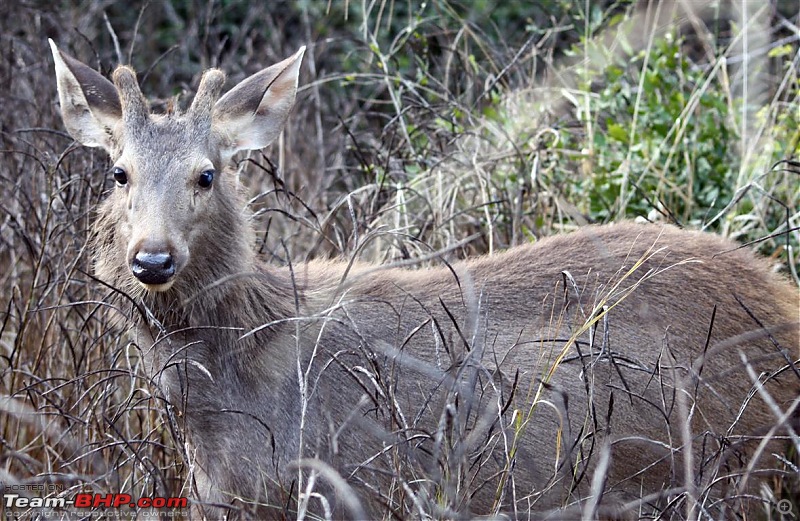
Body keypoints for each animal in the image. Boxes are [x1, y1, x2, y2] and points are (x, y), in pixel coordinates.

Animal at [51, 38, 800, 516]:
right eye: (119, 173)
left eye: (207, 174)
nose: (152, 259)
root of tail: (782, 302)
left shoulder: (343, 485)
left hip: (732, 464)